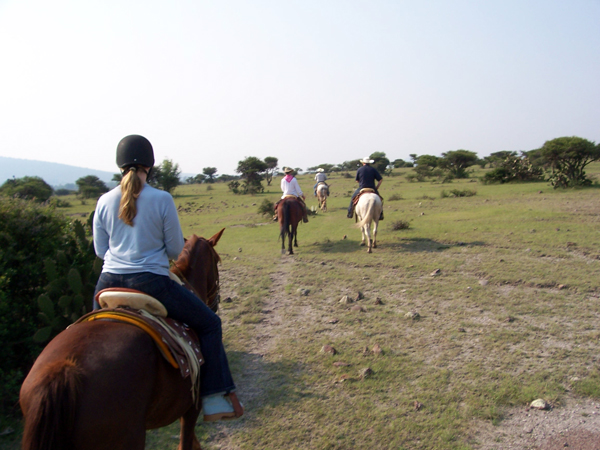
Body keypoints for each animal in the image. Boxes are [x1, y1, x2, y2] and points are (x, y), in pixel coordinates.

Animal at [19, 229, 225, 450]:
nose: (214, 302)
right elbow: (185, 440)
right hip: (128, 437)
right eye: (217, 260)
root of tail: (64, 370)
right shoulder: (191, 406)